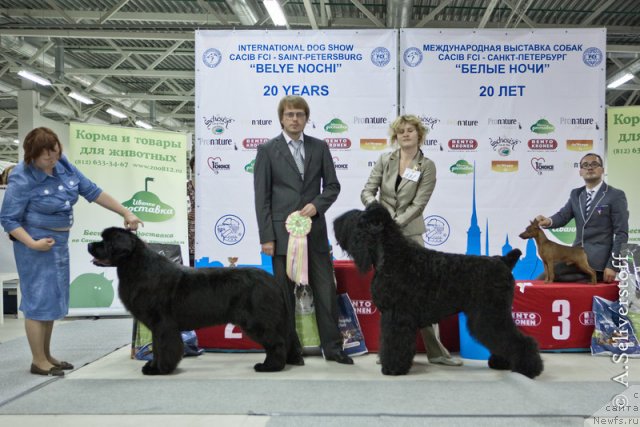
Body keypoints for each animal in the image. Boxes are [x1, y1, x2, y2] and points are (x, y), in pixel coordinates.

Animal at [87, 227, 302, 374]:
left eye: (106, 241)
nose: (89, 245)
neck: (137, 267)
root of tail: (272, 280)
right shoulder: (159, 326)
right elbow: (157, 347)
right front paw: (154, 365)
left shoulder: (162, 324)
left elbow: (163, 346)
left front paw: (159, 369)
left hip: (257, 321)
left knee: (276, 342)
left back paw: (269, 366)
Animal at [332, 202, 544, 380]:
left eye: (359, 219)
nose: (335, 223)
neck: (393, 254)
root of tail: (504, 261)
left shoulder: (396, 315)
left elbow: (394, 342)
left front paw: (392, 368)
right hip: (490, 315)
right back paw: (502, 362)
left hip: (491, 314)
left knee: (519, 340)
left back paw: (529, 368)